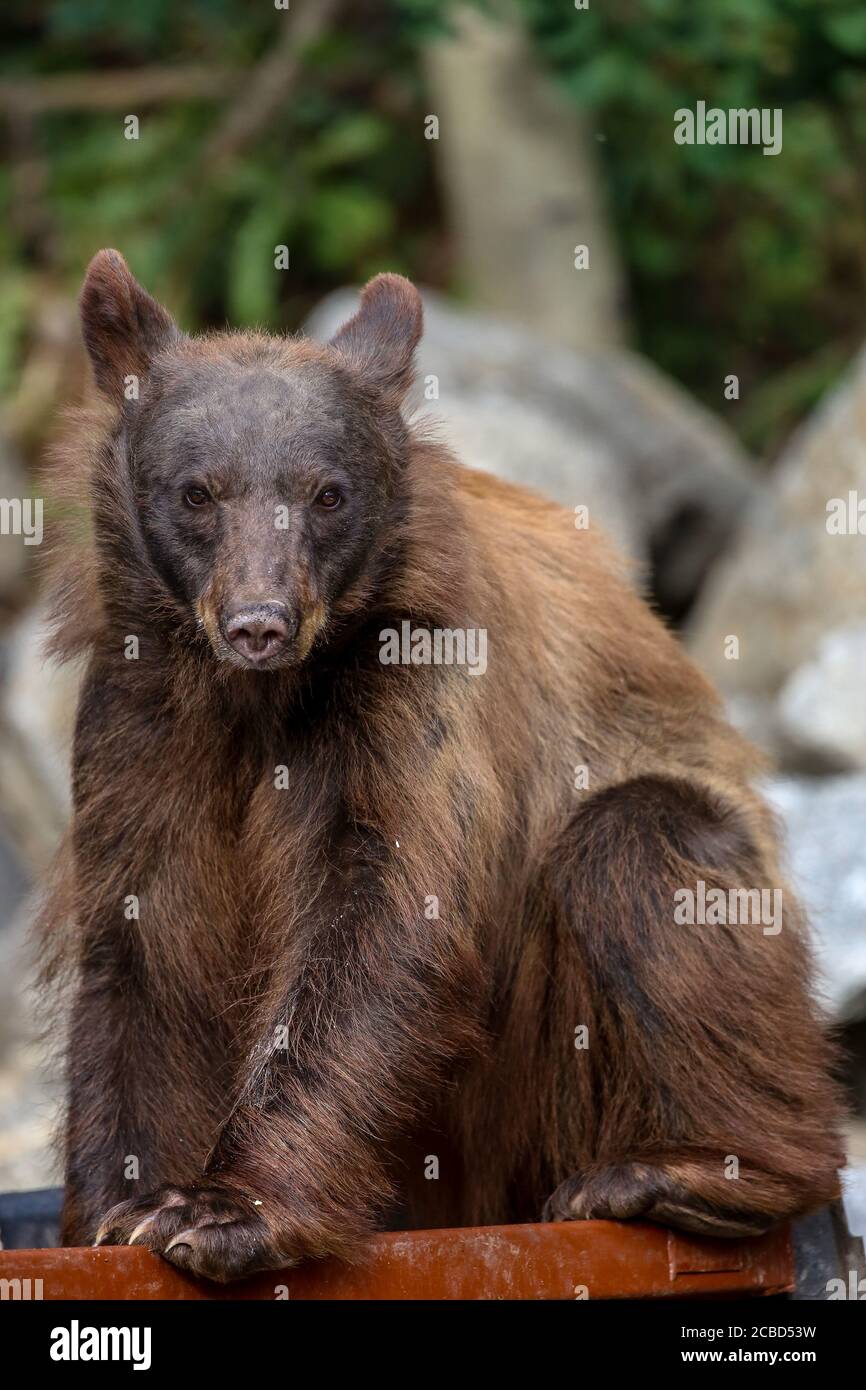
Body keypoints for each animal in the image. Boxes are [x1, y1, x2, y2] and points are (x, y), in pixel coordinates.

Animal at [36, 249, 844, 1283]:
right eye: (198, 492)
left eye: (327, 493)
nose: (260, 622)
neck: (258, 702)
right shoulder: (142, 728)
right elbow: (137, 948)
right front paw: (114, 1207)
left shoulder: (415, 690)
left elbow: (387, 916)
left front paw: (222, 1210)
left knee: (642, 851)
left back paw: (683, 1172)